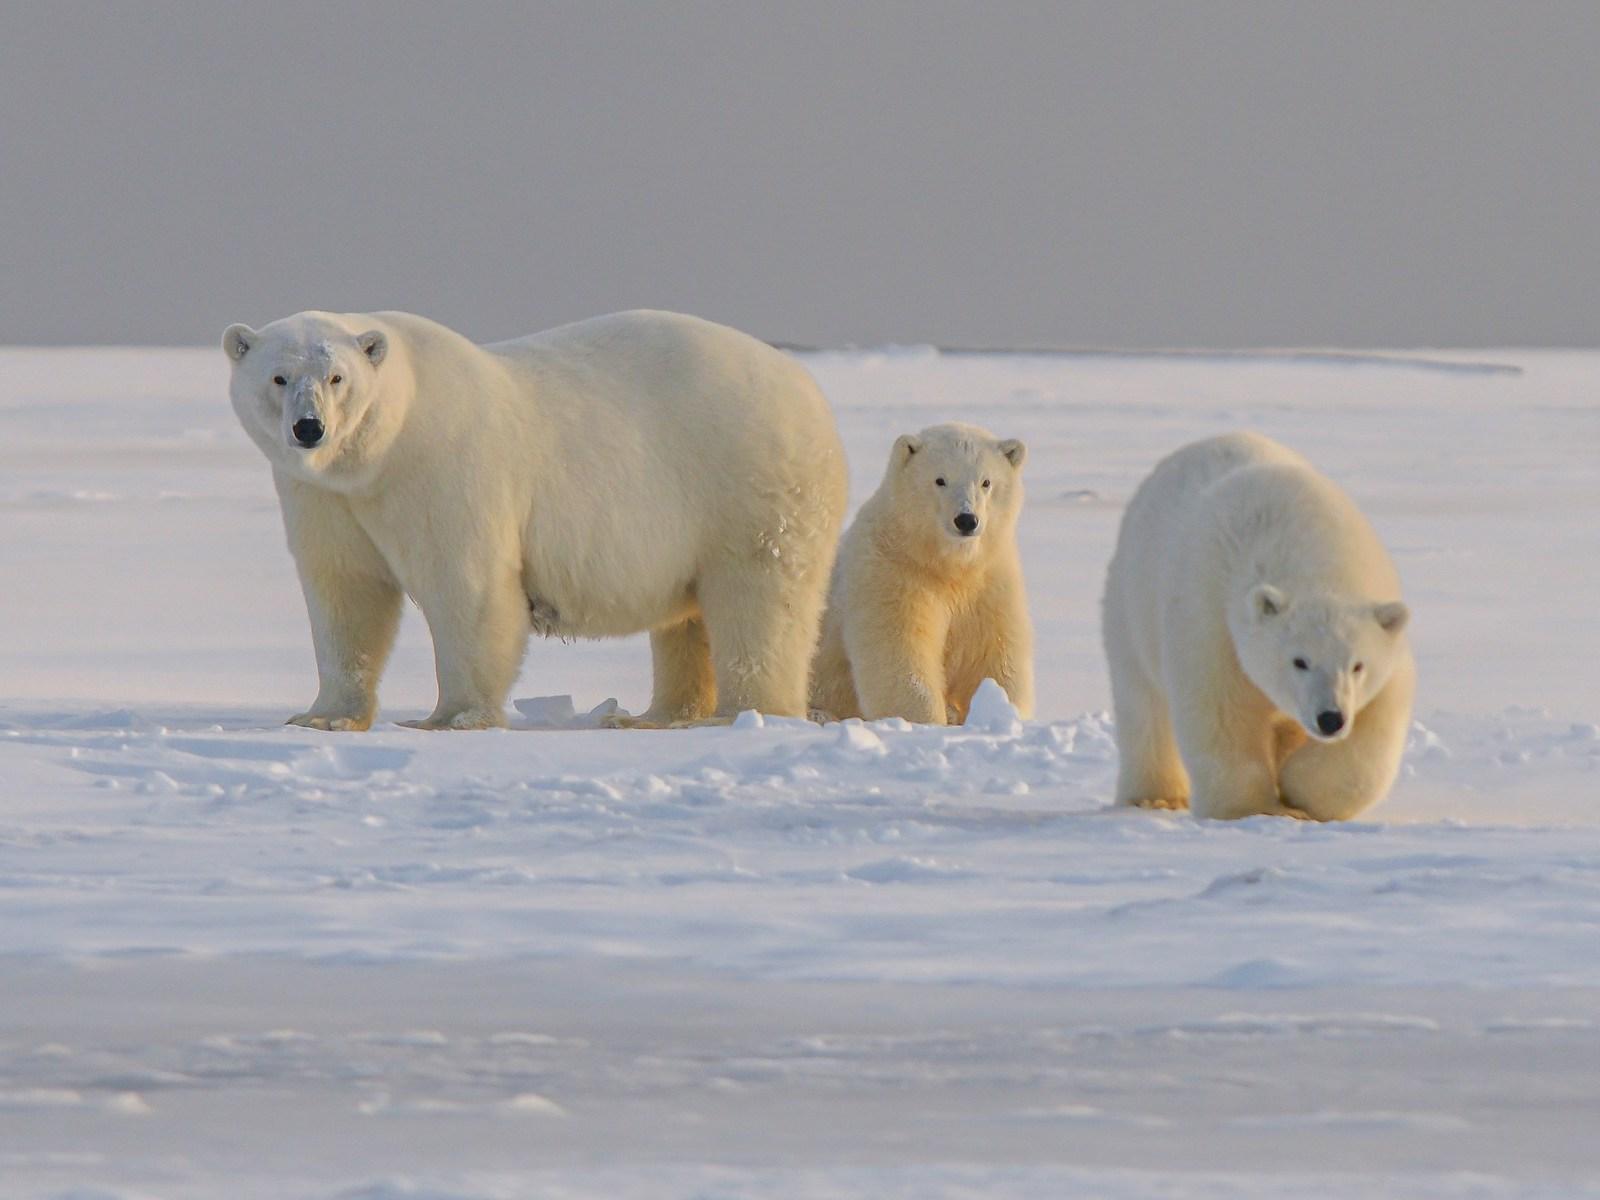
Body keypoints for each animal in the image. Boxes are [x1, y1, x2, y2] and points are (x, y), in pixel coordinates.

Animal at [227, 307, 857, 732]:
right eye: (278, 377)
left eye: (337, 377)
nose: (309, 428)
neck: (382, 450)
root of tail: (809, 390)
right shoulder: (324, 497)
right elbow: (345, 593)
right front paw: (323, 717)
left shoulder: (446, 468)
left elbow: (468, 587)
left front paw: (452, 718)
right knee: (688, 617)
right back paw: (652, 715)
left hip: (747, 482)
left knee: (759, 598)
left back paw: (742, 713)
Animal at [812, 422, 1036, 723]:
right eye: (940, 480)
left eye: (986, 482)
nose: (966, 520)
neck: (945, 564)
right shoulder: (891, 572)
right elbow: (901, 653)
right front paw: (927, 720)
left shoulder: (989, 580)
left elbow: (993, 654)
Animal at [1100, 435, 1414, 825]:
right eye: (1299, 661)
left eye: (1358, 665)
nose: (1330, 719)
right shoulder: (1211, 620)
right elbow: (1221, 711)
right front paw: (1253, 809)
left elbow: (1374, 729)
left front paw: (1298, 791)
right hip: (1130, 607)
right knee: (1143, 705)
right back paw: (1155, 797)